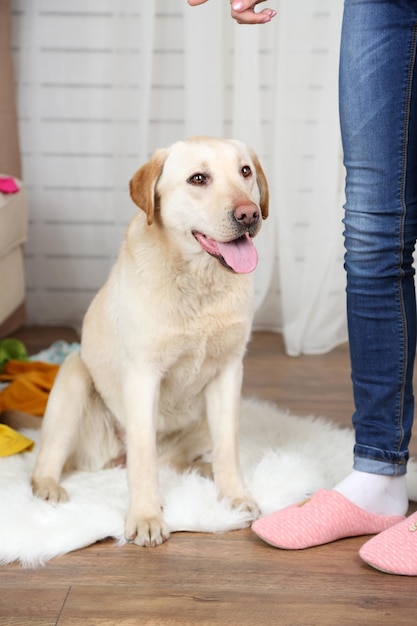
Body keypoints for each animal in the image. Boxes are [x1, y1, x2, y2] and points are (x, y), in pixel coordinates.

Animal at [30, 134, 268, 544]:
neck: (198, 282)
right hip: (75, 377)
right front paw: (144, 517)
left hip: (212, 414)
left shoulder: (228, 373)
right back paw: (47, 486)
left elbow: (228, 447)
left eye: (245, 172)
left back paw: (200, 472)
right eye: (198, 178)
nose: (249, 214)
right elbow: (142, 460)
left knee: (173, 460)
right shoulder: (143, 377)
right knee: (50, 457)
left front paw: (234, 495)